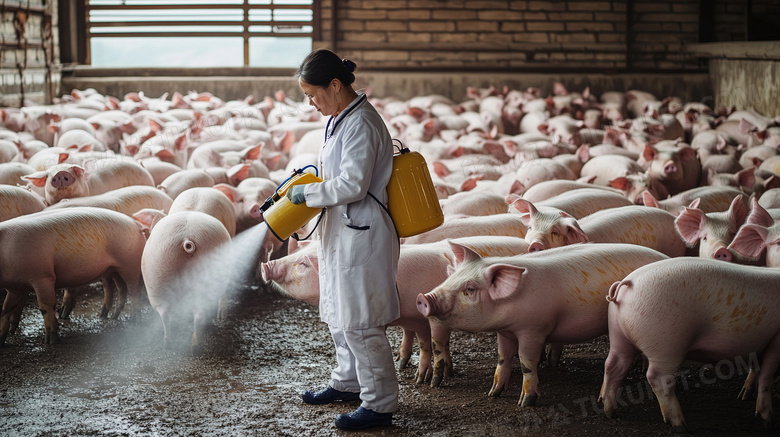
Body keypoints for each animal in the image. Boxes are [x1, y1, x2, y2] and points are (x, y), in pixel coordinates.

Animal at [136, 209, 233, 352]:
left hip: (157, 276)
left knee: (166, 314)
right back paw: (192, 345)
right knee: (197, 315)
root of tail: (187, 241)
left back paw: (169, 344)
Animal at [418, 240, 668, 404]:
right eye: (451, 277)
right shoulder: (505, 331)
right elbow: (503, 357)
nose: (424, 298)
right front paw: (493, 394)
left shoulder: (534, 329)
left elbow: (526, 361)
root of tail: (665, 257)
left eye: (469, 289)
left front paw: (525, 403)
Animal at [604, 258, 780, 430]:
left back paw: (610, 412)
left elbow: (757, 369)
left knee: (613, 365)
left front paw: (744, 396)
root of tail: (628, 282)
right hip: (667, 344)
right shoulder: (776, 341)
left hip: (618, 335)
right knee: (658, 378)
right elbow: (766, 378)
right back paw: (681, 425)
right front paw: (768, 421)